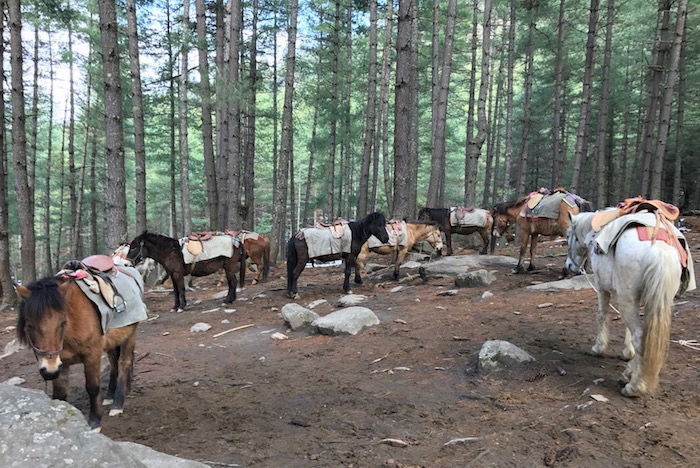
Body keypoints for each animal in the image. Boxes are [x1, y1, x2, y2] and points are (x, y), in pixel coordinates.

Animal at [16, 278, 139, 432]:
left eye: (63, 322)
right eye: (29, 326)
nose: (49, 370)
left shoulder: (92, 355)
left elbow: (92, 387)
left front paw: (95, 421)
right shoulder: (61, 363)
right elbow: (60, 394)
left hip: (130, 335)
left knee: (124, 363)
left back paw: (117, 403)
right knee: (114, 364)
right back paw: (112, 395)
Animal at [568, 213, 688, 398]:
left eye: (569, 236)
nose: (568, 266)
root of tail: (658, 249)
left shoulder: (602, 288)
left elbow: (602, 315)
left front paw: (598, 348)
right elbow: (627, 329)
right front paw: (627, 353)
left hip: (627, 299)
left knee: (640, 337)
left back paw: (635, 386)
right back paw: (631, 374)